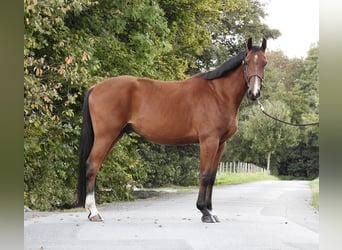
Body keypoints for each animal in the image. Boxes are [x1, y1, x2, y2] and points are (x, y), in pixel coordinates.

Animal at [77, 37, 268, 223]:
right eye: (246, 62)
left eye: (264, 63)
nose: (254, 93)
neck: (218, 94)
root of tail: (95, 88)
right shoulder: (209, 141)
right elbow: (205, 175)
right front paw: (204, 211)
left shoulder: (221, 143)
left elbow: (212, 177)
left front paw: (212, 211)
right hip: (105, 136)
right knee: (92, 166)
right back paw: (94, 212)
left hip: (114, 135)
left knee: (96, 166)